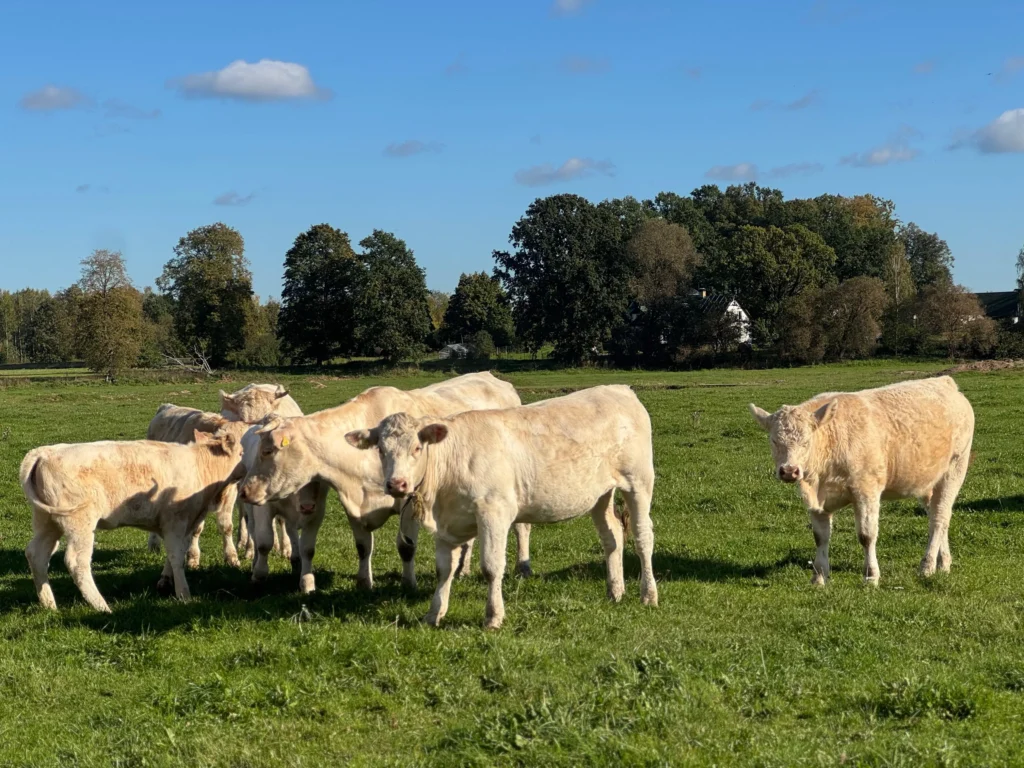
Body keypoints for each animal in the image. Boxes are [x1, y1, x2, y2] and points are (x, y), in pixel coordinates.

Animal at [21, 426, 246, 612]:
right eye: (242, 453)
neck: (200, 467)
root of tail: (44, 452)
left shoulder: (183, 524)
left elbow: (172, 555)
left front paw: (166, 582)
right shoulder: (175, 521)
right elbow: (176, 557)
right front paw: (184, 594)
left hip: (47, 521)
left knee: (36, 555)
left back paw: (50, 605)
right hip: (79, 523)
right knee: (76, 561)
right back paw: (102, 607)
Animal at [239, 372, 532, 594]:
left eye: (268, 451)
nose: (245, 490)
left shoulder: (410, 501)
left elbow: (406, 548)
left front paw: (408, 583)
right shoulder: (352, 501)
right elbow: (363, 546)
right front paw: (364, 582)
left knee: (522, 526)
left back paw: (523, 565)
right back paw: (463, 569)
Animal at [345, 385, 658, 629]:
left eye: (417, 449)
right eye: (381, 450)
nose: (396, 484)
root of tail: (619, 389)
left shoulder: (494, 512)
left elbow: (491, 567)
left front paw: (493, 617)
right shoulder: (448, 524)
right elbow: (444, 570)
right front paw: (434, 614)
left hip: (639, 482)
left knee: (643, 538)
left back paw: (648, 595)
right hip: (600, 494)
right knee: (612, 537)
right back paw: (615, 591)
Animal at [749, 376, 975, 585]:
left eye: (806, 441)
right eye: (774, 440)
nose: (789, 471)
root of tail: (944, 381)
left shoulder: (867, 490)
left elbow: (867, 535)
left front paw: (871, 576)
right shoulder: (817, 500)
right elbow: (820, 536)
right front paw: (819, 577)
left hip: (955, 469)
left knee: (939, 517)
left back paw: (927, 566)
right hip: (928, 481)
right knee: (937, 514)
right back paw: (943, 563)